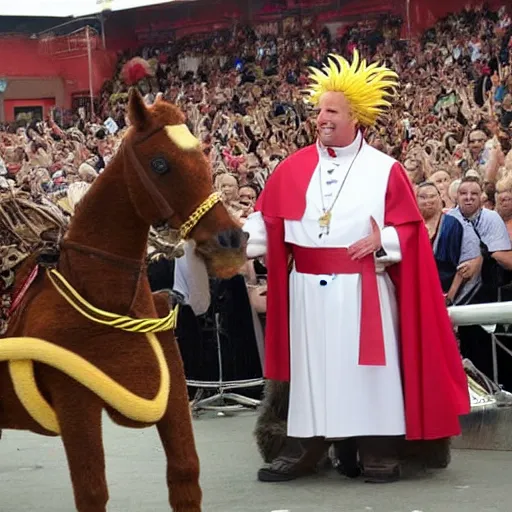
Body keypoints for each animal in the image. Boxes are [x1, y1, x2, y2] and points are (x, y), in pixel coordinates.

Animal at [0, 90, 248, 510]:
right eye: (160, 163)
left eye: (204, 155)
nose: (231, 241)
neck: (104, 292)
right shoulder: (75, 400)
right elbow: (92, 491)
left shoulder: (174, 387)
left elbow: (185, 474)